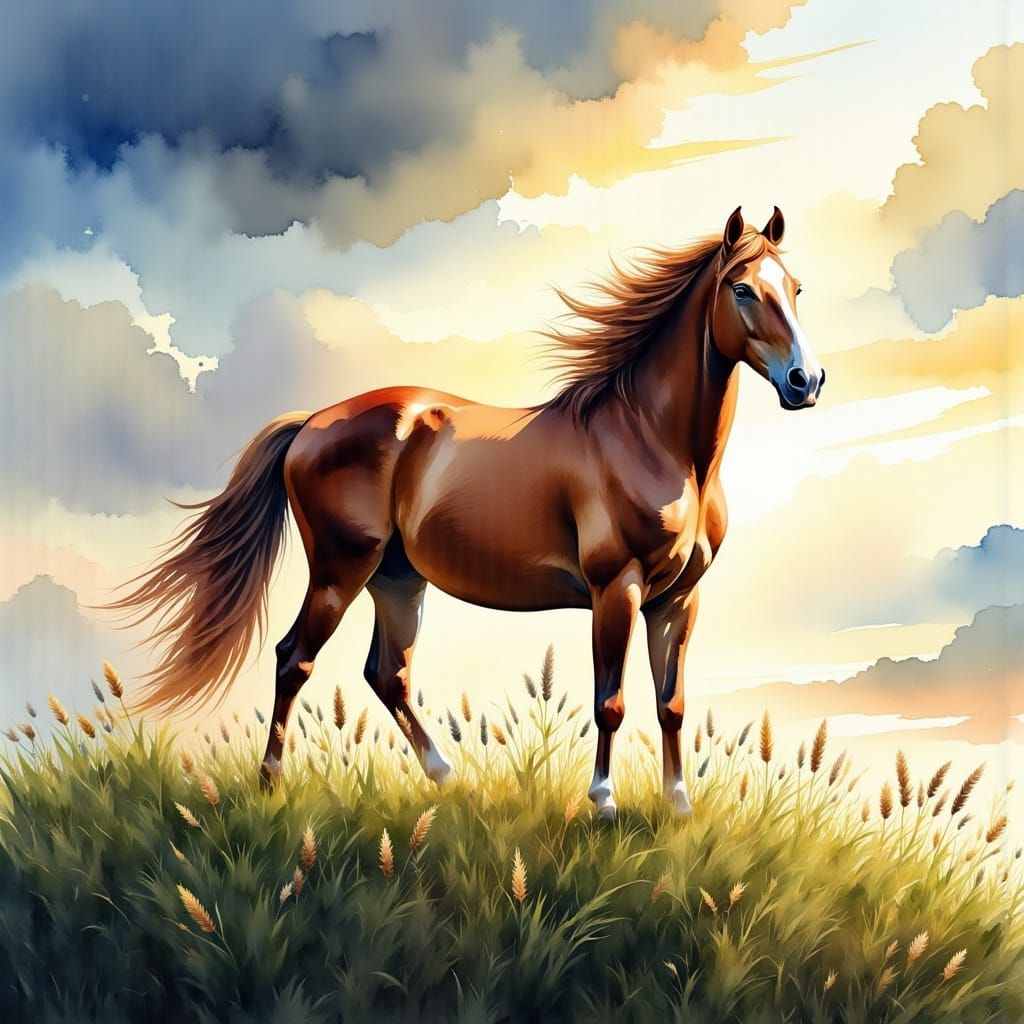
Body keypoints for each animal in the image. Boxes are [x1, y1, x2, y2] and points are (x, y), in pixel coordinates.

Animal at [110, 205, 824, 819]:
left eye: (794, 287)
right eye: (741, 290)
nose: (806, 382)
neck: (652, 439)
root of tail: (311, 422)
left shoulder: (677, 599)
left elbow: (671, 703)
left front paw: (679, 809)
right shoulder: (615, 588)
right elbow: (611, 702)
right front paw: (603, 803)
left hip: (397, 580)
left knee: (387, 673)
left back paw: (449, 781)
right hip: (340, 571)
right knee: (295, 659)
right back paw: (272, 784)